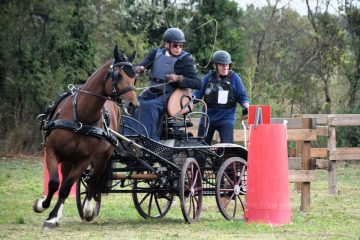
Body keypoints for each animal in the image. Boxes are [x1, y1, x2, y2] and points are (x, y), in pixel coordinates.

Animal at [33, 46, 139, 228]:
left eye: (134, 78)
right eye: (118, 75)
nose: (133, 105)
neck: (81, 117)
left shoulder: (83, 160)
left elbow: (67, 187)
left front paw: (52, 216)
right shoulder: (53, 152)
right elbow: (54, 183)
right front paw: (42, 206)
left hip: (102, 157)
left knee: (93, 180)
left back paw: (88, 209)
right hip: (68, 159)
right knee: (67, 179)